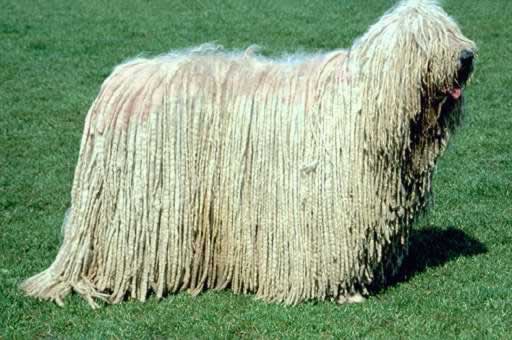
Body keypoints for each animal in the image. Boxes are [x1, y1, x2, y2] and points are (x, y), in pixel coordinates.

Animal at [21, 0, 476, 308]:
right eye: (429, 37)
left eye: (452, 30)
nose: (468, 56)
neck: (366, 107)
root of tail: (118, 82)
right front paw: (343, 293)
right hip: (139, 206)